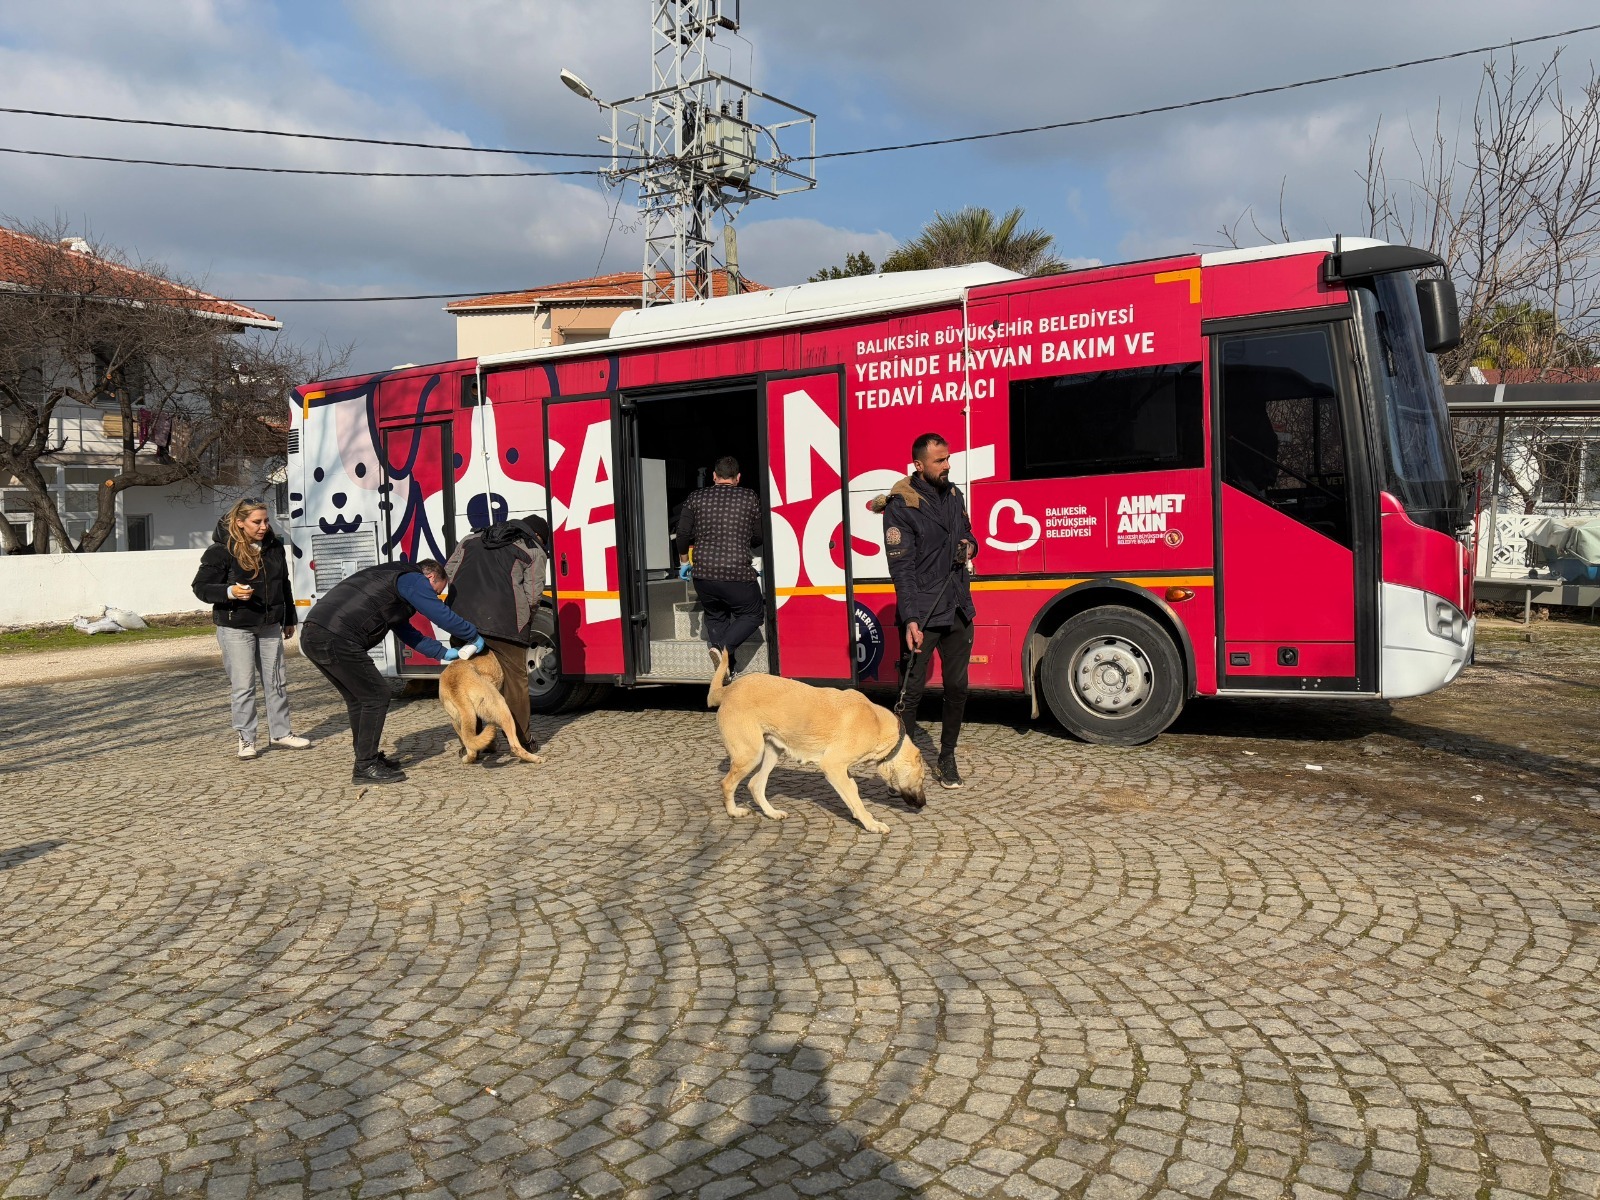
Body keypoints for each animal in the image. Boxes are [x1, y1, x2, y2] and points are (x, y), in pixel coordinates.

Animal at [710, 649, 928, 838]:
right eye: (922, 778)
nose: (924, 804)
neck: (877, 724)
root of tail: (728, 689)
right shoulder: (833, 765)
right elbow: (855, 799)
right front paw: (871, 823)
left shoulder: (842, 769)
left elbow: (853, 791)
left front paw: (860, 815)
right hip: (751, 754)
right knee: (727, 783)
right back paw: (733, 812)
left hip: (771, 752)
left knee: (756, 784)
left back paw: (772, 813)